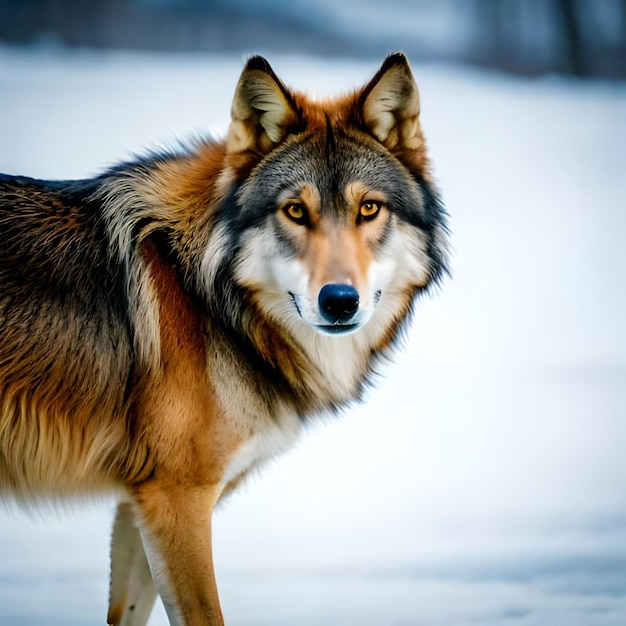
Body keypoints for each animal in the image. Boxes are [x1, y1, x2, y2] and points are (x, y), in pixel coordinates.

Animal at [0, 54, 448, 624]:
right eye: (294, 211)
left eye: (368, 209)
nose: (340, 301)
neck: (207, 295)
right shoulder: (177, 501)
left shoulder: (136, 502)